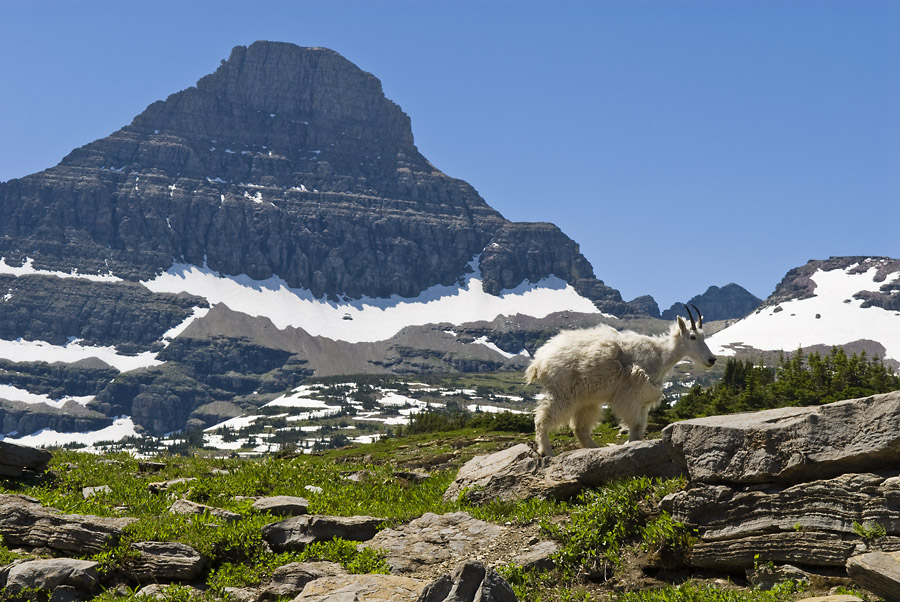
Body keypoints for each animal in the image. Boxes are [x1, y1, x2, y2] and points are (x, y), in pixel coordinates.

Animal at [528, 304, 716, 454]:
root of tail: (539, 362)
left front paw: (631, 443)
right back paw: (546, 451)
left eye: (703, 336)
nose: (711, 360)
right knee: (542, 419)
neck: (661, 355)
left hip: (586, 398)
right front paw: (630, 445)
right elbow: (635, 424)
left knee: (580, 427)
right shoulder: (631, 393)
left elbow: (640, 426)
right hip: (564, 393)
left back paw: (595, 448)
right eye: (692, 337)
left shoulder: (643, 398)